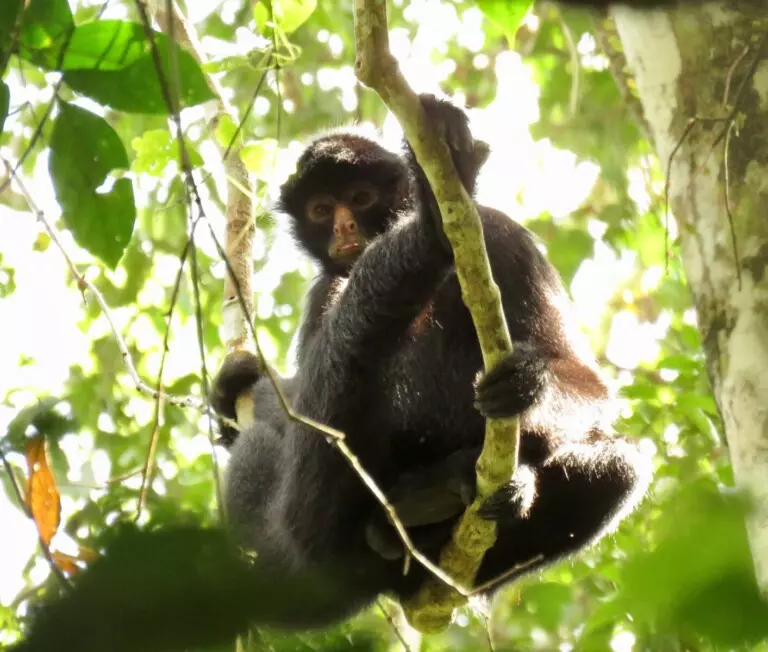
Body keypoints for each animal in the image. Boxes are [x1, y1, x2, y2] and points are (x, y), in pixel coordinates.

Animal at [212, 94, 653, 629]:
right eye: (320, 209)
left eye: (360, 198)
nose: (343, 226)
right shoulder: (320, 290)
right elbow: (297, 408)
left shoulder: (499, 232)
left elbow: (585, 379)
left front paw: (529, 388)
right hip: (308, 520)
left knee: (625, 463)